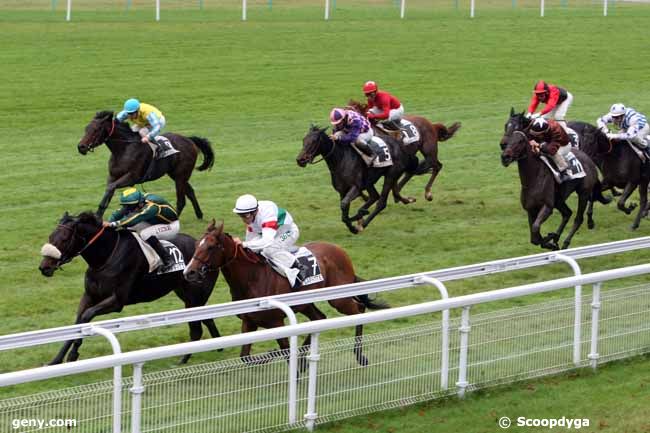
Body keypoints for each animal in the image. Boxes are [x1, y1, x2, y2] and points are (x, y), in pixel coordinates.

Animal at [39, 211, 220, 362]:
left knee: (201, 323)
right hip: (186, 295)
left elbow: (86, 317)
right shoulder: (89, 295)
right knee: (207, 318)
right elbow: (77, 323)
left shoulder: (117, 301)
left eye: (64, 239)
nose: (44, 267)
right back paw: (218, 346)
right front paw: (56, 360)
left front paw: (73, 354)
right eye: (50, 236)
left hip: (195, 295)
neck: (106, 257)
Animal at [75, 110, 213, 218]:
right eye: (86, 128)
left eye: (96, 129)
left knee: (181, 200)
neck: (124, 149)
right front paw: (97, 216)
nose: (81, 147)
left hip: (181, 175)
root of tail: (189, 140)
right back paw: (199, 214)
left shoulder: (132, 177)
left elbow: (110, 188)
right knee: (190, 192)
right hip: (176, 174)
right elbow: (108, 193)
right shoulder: (113, 176)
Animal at [181, 219, 384, 364]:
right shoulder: (249, 322)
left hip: (338, 298)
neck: (252, 278)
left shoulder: (276, 322)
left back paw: (360, 356)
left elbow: (286, 352)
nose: (189, 272)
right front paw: (279, 356)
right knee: (319, 318)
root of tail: (339, 250)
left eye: (210, 247)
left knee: (358, 310)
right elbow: (245, 356)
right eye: (197, 244)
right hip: (305, 304)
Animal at [502, 109, 608, 248]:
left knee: (579, 217)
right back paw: (558, 237)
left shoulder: (547, 207)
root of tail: (588, 159)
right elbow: (534, 238)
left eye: (520, 141)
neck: (533, 179)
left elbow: (536, 229)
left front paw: (551, 240)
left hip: (583, 192)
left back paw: (567, 240)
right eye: (506, 126)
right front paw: (551, 240)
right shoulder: (530, 209)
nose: (504, 156)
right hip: (559, 200)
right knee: (567, 213)